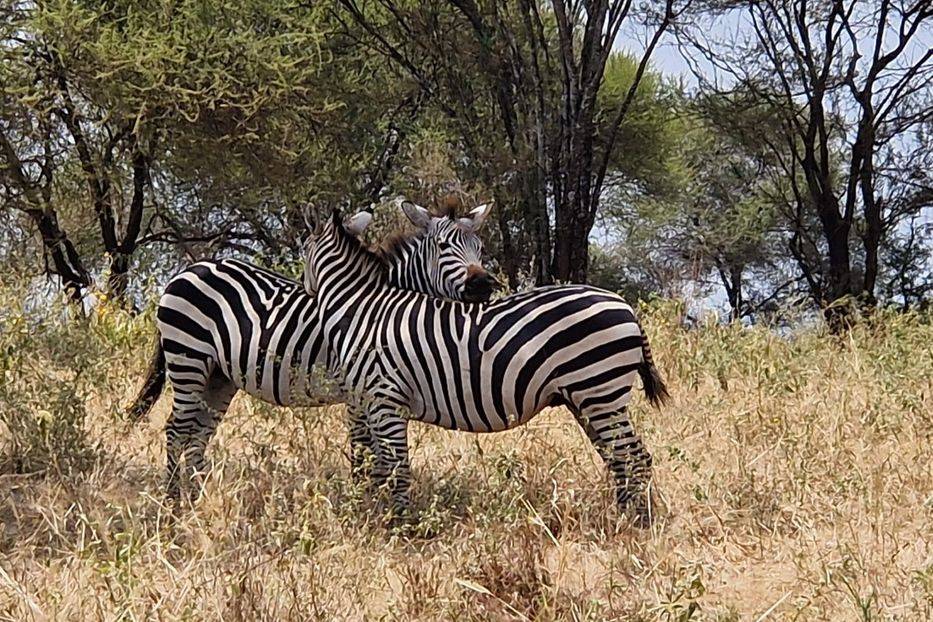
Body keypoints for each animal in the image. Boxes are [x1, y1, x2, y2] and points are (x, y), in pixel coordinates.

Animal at [129, 200, 502, 502]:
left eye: (480, 248)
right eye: (442, 246)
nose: (482, 284)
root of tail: (188, 270)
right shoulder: (358, 394)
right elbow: (363, 453)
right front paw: (365, 505)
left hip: (219, 376)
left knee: (197, 435)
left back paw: (197, 499)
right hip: (188, 358)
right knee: (177, 430)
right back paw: (174, 502)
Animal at [302, 213, 668, 528]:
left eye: (304, 252)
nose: (304, 287)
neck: (361, 310)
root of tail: (625, 305)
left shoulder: (384, 400)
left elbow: (395, 469)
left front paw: (400, 525)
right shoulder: (368, 403)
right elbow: (376, 467)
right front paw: (379, 514)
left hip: (600, 390)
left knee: (635, 456)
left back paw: (637, 523)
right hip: (587, 398)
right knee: (620, 456)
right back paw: (625, 515)